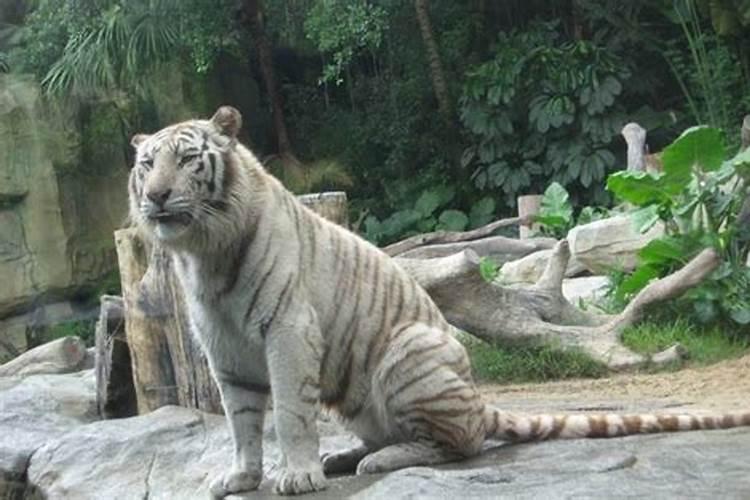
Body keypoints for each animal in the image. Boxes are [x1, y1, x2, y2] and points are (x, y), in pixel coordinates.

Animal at [129, 105, 750, 496]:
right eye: (147, 164)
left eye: (188, 160)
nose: (156, 196)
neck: (205, 251)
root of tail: (478, 400)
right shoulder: (223, 347)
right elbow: (241, 419)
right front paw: (239, 477)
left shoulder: (287, 329)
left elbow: (288, 413)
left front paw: (297, 475)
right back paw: (346, 456)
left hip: (410, 350)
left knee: (461, 443)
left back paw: (374, 459)